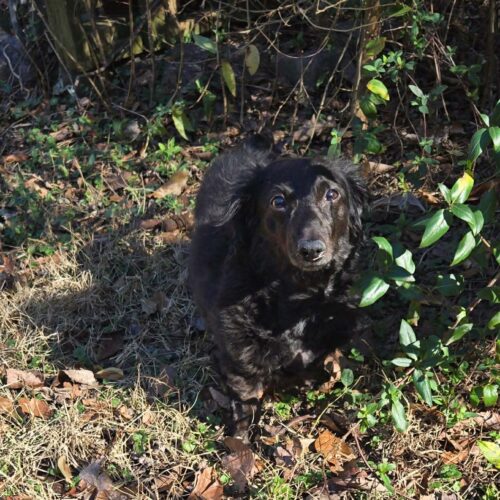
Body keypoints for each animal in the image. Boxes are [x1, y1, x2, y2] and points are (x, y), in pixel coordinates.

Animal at [189, 134, 367, 439]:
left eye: (332, 194)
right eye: (278, 201)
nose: (311, 250)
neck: (299, 299)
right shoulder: (240, 365)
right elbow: (246, 401)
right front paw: (241, 442)